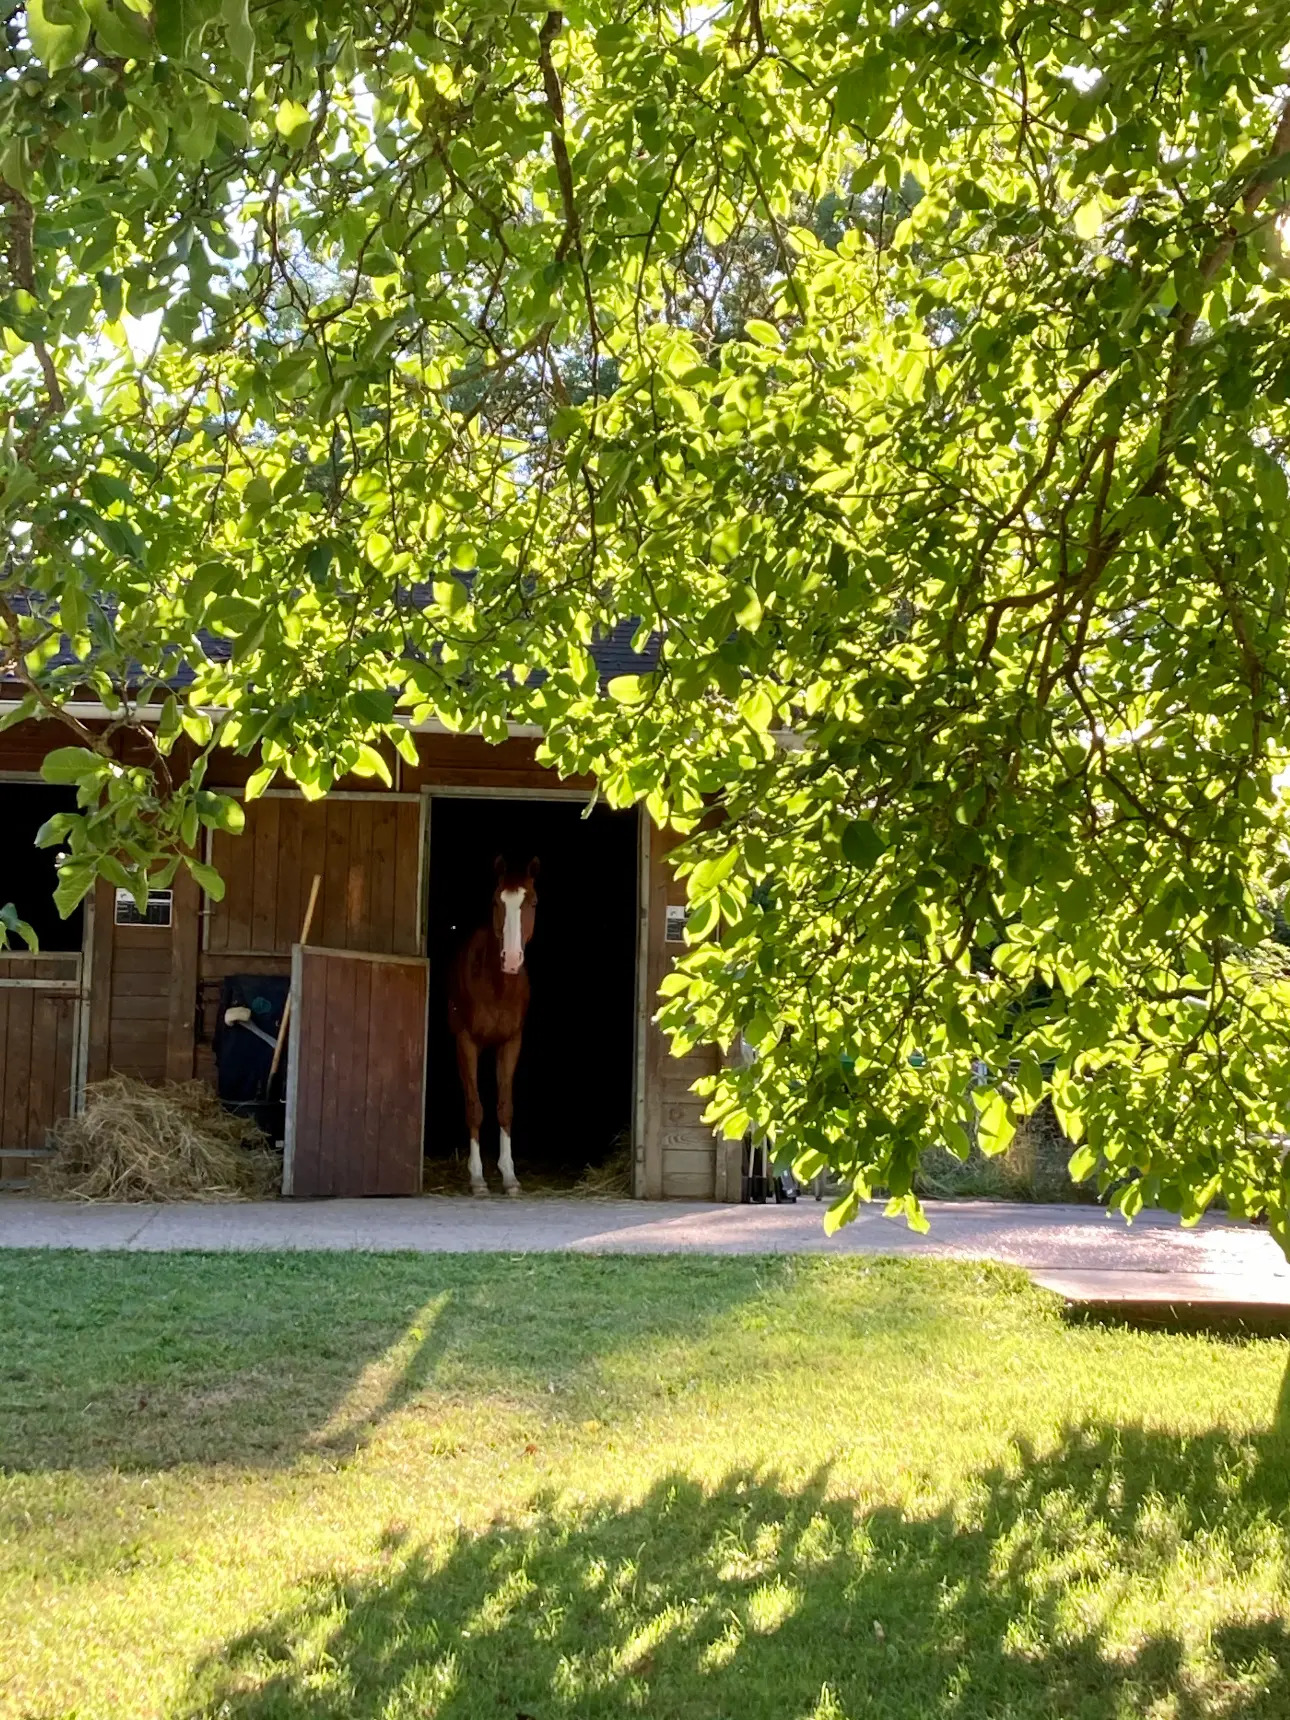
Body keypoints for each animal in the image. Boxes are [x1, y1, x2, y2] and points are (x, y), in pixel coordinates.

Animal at [450, 856, 540, 1197]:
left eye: (532, 902)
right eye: (495, 901)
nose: (511, 960)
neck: (497, 986)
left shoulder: (511, 1042)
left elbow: (505, 1107)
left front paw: (510, 1176)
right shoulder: (466, 1042)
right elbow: (474, 1107)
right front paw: (477, 1178)